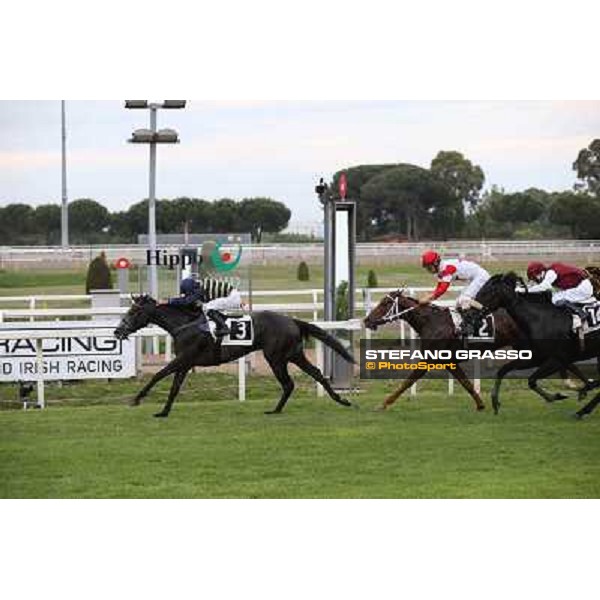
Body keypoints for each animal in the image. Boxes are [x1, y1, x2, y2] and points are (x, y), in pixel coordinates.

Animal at [115, 296, 354, 418]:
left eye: (134, 312)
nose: (118, 331)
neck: (184, 324)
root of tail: (292, 320)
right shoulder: (185, 362)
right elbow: (174, 387)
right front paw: (163, 412)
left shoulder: (182, 359)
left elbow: (158, 375)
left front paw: (136, 399)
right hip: (293, 354)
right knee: (315, 374)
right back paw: (340, 400)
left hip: (276, 357)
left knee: (289, 383)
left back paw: (276, 410)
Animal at [462, 272, 596, 418]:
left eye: (487, 292)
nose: (468, 315)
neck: (540, 318)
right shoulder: (538, 357)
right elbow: (504, 370)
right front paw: (495, 401)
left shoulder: (556, 359)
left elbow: (532, 380)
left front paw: (559, 395)